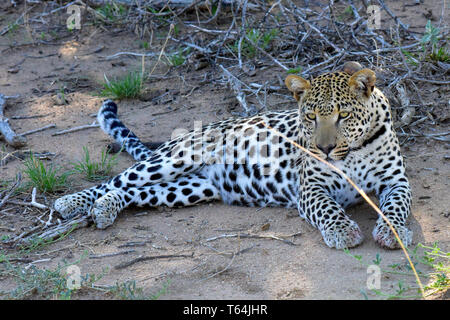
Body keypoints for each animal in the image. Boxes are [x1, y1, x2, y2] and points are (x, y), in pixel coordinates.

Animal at [52, 61, 412, 249]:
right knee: (117, 180)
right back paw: (71, 203)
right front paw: (342, 231)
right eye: (310, 117)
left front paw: (393, 231)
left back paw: (105, 208)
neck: (354, 152)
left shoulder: (396, 181)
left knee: (135, 192)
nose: (323, 148)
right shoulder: (312, 187)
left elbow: (398, 206)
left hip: (190, 188)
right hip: (176, 158)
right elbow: (328, 208)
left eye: (343, 116)